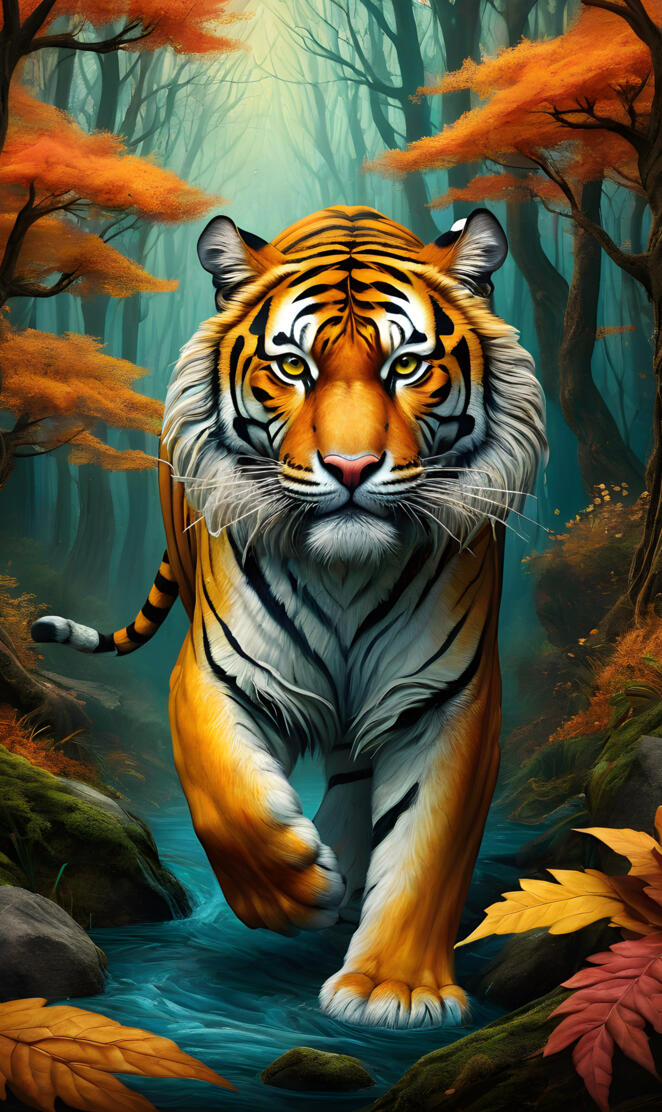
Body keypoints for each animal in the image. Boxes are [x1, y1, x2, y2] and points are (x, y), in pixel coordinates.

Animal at [32, 205, 546, 1029]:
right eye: (293, 367)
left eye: (407, 367)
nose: (350, 468)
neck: (345, 574)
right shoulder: (215, 672)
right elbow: (226, 799)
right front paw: (295, 886)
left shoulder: (448, 697)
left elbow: (428, 848)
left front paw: (393, 987)